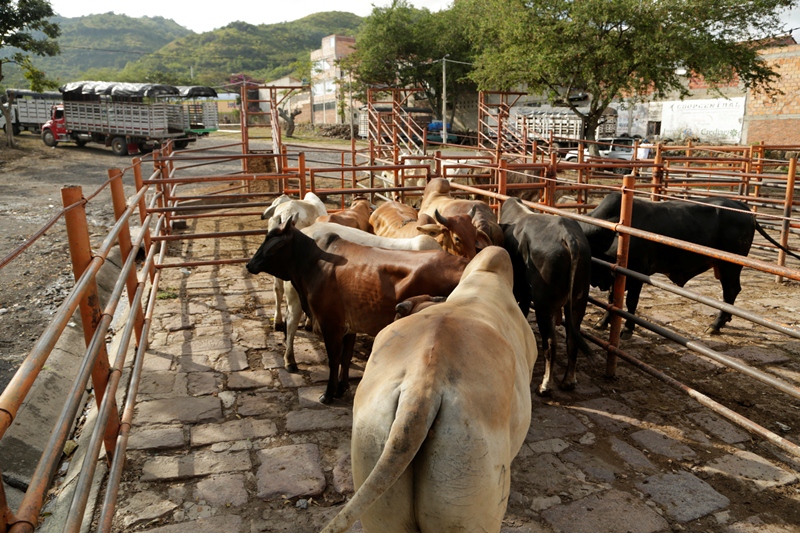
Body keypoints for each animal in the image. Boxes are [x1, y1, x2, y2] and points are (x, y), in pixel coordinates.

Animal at [246, 219, 469, 404]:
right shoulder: (350, 325)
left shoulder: (330, 323)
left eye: (277, 245)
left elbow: (334, 359)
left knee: (291, 323)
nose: (249, 264)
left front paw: (328, 394)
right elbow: (345, 357)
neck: (315, 261)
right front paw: (341, 388)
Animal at [500, 197, 594, 394]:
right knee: (572, 339)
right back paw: (568, 381)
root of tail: (568, 237)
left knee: (550, 342)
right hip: (578, 301)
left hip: (544, 303)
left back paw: (545, 385)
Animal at [579, 192, 800, 339]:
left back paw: (715, 325)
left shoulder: (637, 272)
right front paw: (602, 322)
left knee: (731, 291)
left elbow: (630, 302)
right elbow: (613, 298)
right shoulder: (615, 274)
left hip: (730, 265)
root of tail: (743, 208)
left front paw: (626, 330)